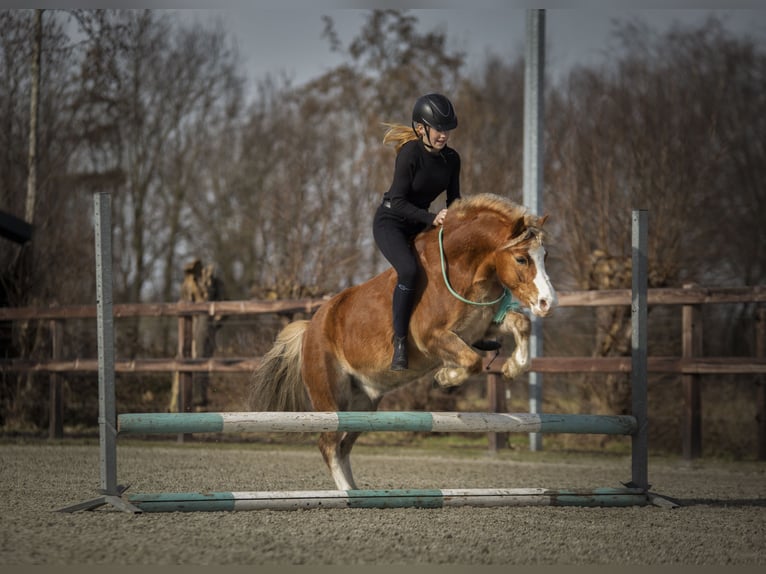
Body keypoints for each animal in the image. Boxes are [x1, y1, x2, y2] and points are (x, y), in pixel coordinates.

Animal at [249, 193, 557, 490]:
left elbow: (521, 324)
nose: (547, 303)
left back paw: (357, 492)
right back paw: (346, 493)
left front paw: (512, 368)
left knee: (344, 446)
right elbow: (473, 361)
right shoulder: (432, 337)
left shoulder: (480, 330)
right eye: (521, 259)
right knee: (329, 445)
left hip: (363, 405)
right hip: (331, 400)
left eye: (544, 256)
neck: (465, 269)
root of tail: (310, 328)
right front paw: (444, 378)